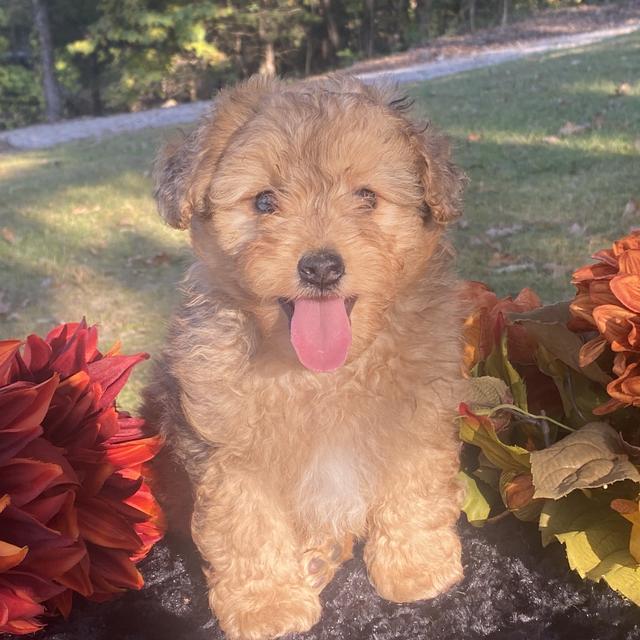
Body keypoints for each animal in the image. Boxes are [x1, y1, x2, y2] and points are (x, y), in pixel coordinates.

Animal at [144, 72, 464, 636]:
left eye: (366, 197)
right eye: (264, 202)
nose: (320, 267)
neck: (322, 375)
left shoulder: (417, 417)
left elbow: (414, 486)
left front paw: (418, 566)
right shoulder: (228, 450)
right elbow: (245, 525)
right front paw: (267, 605)